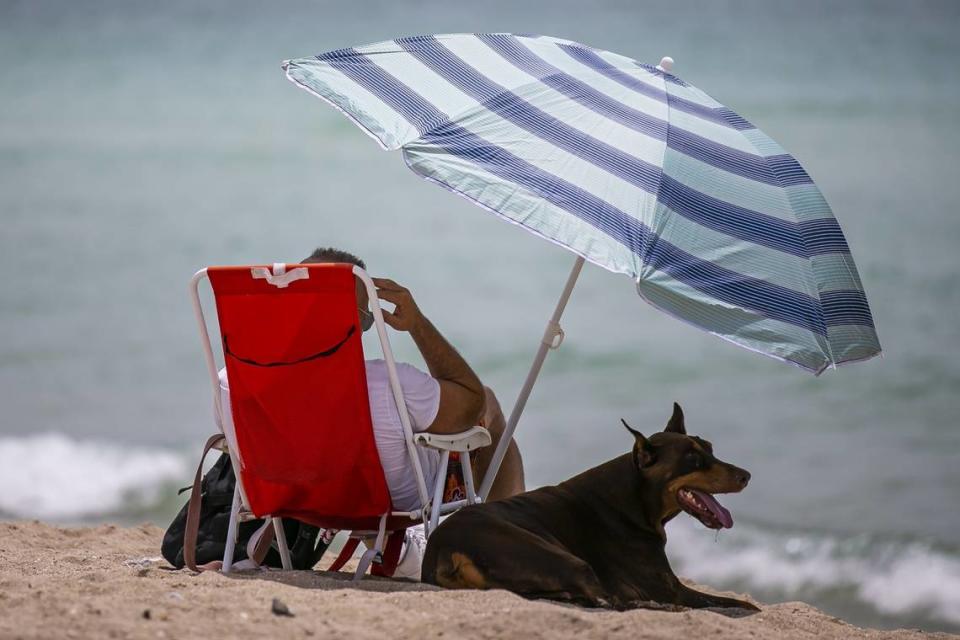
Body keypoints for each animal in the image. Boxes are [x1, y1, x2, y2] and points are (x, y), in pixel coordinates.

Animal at [420, 404, 756, 608]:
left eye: (710, 449)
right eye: (693, 459)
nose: (746, 475)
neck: (635, 499)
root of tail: (444, 548)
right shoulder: (671, 588)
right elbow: (741, 604)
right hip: (558, 557)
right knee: (609, 600)